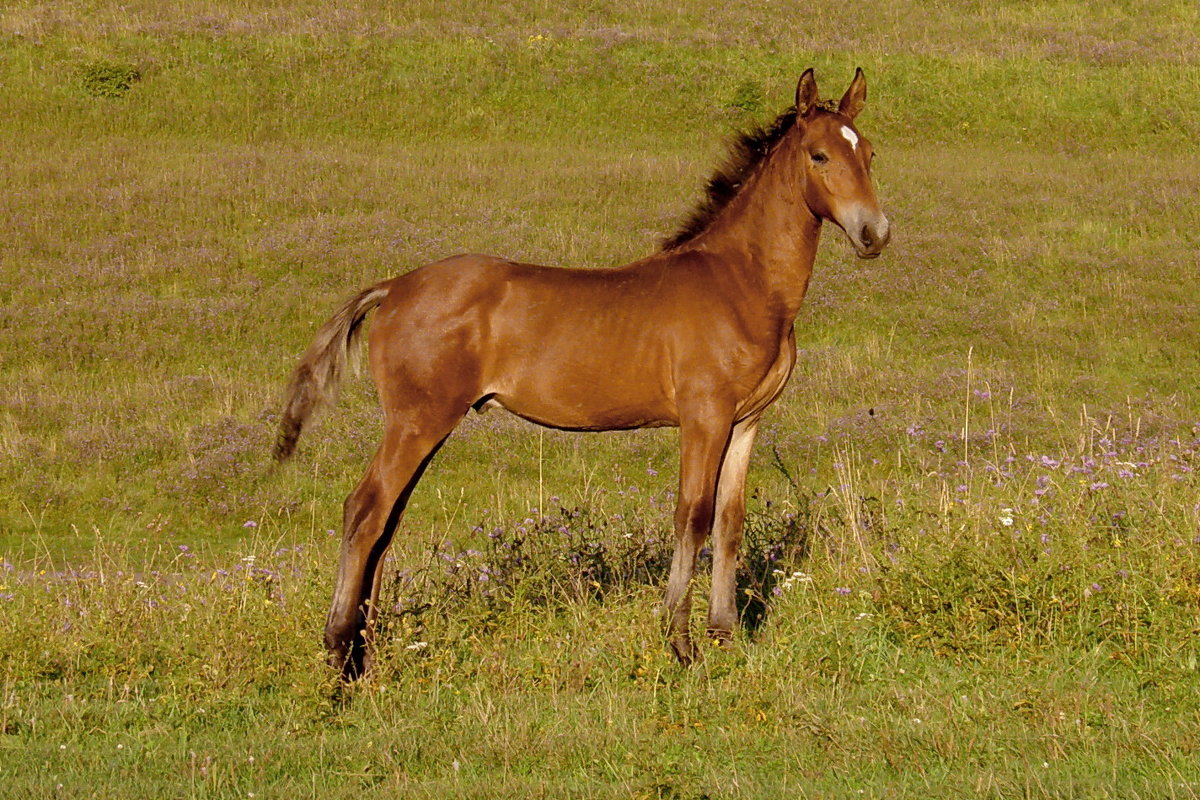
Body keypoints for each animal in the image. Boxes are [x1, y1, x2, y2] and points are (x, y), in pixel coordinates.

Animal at [274, 68, 892, 681]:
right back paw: (339, 655)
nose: (875, 234)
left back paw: (367, 654)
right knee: (365, 512)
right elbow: (693, 515)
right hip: (417, 421)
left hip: (423, 425)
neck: (741, 283)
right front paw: (680, 643)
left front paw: (726, 636)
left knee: (388, 521)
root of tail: (394, 287)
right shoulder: (705, 417)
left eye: (870, 154)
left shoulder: (746, 422)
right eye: (818, 156)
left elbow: (730, 520)